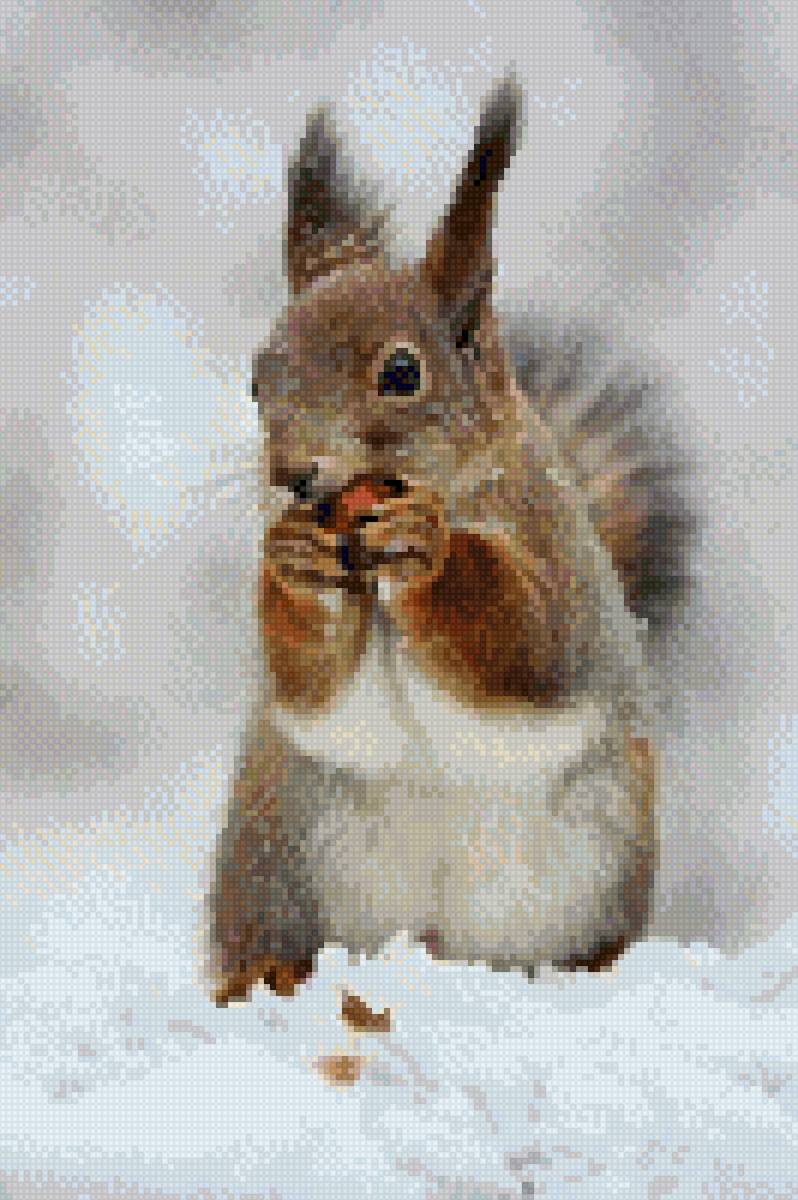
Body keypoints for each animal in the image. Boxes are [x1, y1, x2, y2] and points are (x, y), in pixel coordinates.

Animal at [207, 73, 694, 1005]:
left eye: (403, 372)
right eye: (256, 380)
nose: (293, 475)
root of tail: (435, 947)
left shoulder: (556, 556)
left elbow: (524, 637)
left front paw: (426, 550)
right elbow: (307, 683)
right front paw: (294, 564)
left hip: (599, 856)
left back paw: (584, 970)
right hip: (274, 850)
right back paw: (268, 973)